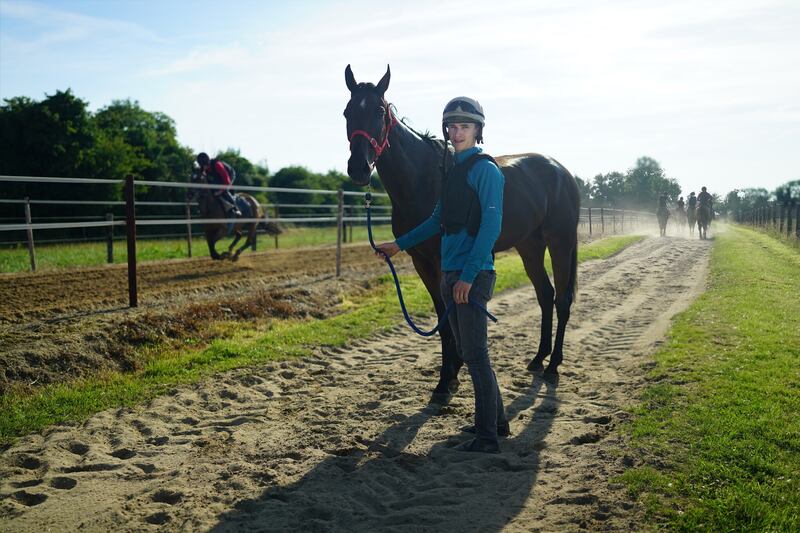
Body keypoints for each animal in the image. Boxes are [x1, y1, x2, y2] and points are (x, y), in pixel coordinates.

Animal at [340, 65, 580, 400]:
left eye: (379, 111)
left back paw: (553, 365)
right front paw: (450, 374)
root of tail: (562, 171)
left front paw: (447, 379)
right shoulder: (422, 262)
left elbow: (450, 318)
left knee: (562, 299)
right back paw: (537, 358)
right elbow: (443, 320)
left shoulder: (443, 261)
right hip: (529, 247)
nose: (359, 168)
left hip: (560, 243)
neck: (424, 178)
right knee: (545, 294)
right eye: (347, 112)